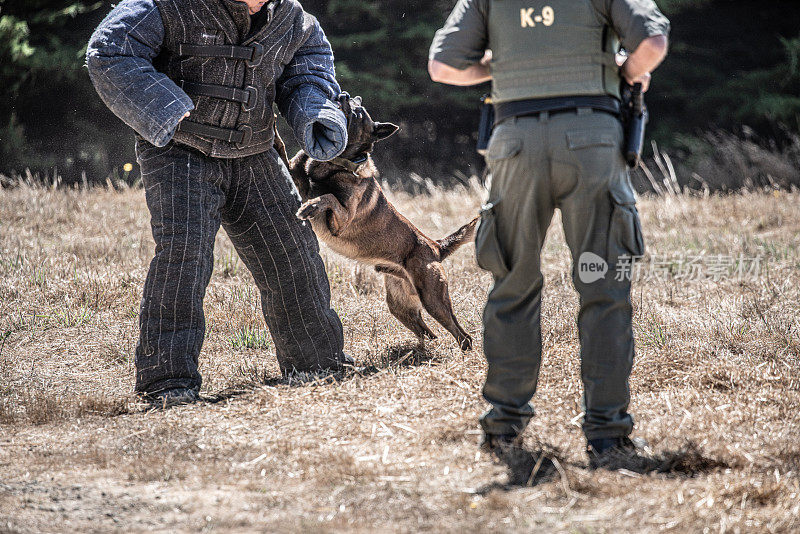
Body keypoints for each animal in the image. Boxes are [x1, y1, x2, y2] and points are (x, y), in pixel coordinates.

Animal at [272, 95, 478, 352]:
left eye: (358, 113)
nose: (343, 95)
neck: (336, 164)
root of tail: (436, 246)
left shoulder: (341, 221)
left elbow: (328, 197)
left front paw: (311, 206)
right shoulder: (299, 182)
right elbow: (284, 153)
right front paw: (273, 130)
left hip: (433, 299)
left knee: (461, 335)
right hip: (400, 306)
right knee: (428, 333)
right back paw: (418, 352)